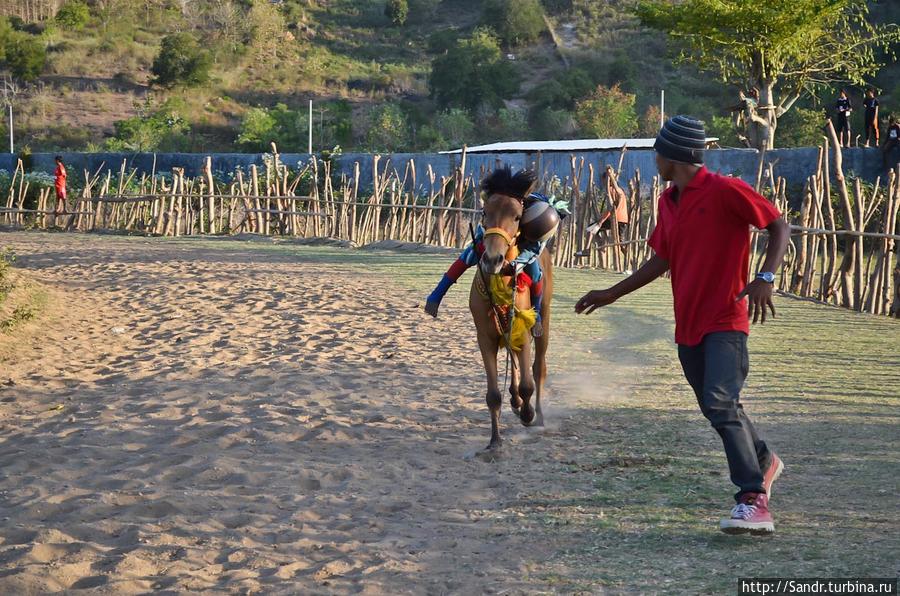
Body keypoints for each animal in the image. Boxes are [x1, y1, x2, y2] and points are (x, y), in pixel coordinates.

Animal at [468, 165, 552, 450]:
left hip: (543, 323)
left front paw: (528, 413)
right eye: (485, 213)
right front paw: (494, 441)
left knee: (538, 369)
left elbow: (528, 383)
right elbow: (493, 395)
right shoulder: (485, 338)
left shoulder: (524, 333)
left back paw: (537, 414)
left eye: (517, 217)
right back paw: (515, 401)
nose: (492, 259)